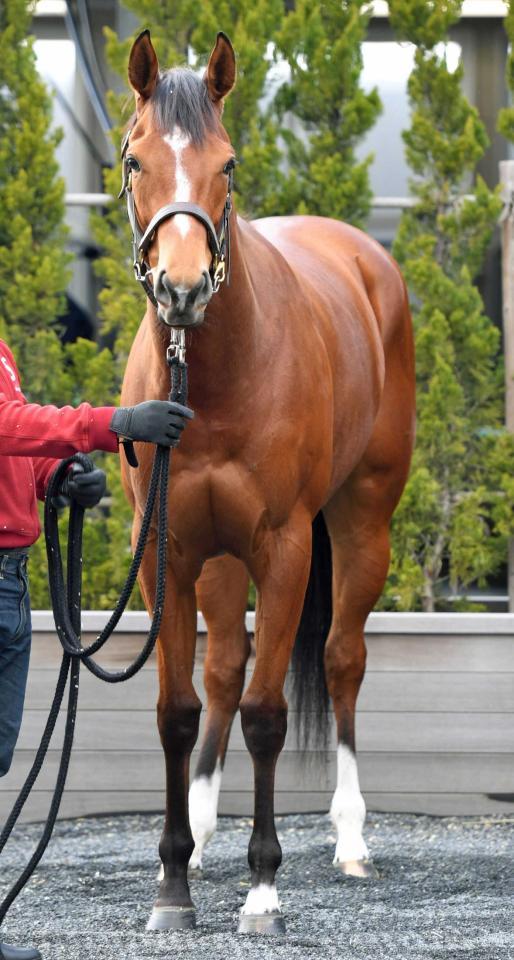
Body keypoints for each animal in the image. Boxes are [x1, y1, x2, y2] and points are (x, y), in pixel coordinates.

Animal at [118, 30, 414, 936]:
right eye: (135, 160)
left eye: (228, 164)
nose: (181, 289)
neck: (215, 380)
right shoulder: (169, 554)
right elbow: (179, 711)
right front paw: (172, 884)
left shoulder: (283, 550)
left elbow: (267, 713)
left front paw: (262, 889)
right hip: (217, 561)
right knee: (222, 670)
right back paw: (202, 835)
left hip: (362, 522)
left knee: (343, 658)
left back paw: (350, 839)